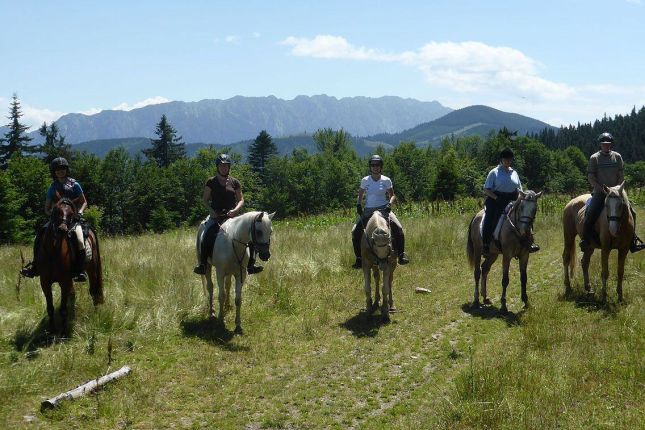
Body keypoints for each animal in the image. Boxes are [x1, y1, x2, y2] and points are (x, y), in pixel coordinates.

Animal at [38, 198, 104, 333]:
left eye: (71, 214)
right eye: (57, 211)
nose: (62, 229)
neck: (53, 251)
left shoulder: (64, 281)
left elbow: (63, 309)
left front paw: (64, 330)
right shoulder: (45, 282)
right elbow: (50, 308)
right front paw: (51, 330)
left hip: (92, 268)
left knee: (94, 291)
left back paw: (95, 314)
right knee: (73, 293)